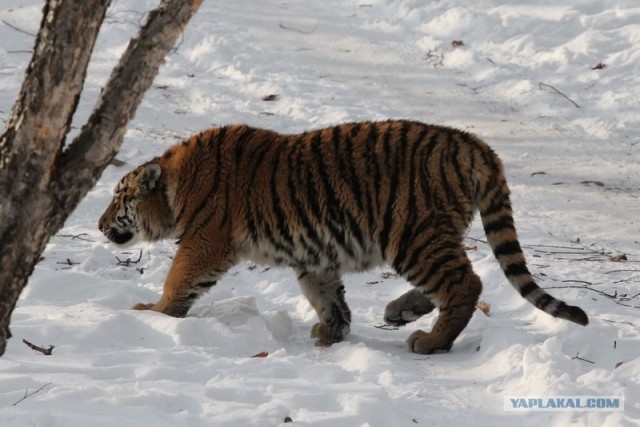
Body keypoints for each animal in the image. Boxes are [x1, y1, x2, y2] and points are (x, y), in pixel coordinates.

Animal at [97, 120, 588, 354]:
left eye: (118, 197)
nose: (100, 225)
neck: (176, 185)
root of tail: (474, 144)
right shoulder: (312, 256)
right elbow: (324, 293)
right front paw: (332, 329)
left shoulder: (205, 242)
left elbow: (177, 279)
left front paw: (153, 313)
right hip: (429, 236)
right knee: (459, 282)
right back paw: (400, 310)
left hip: (413, 234)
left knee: (465, 283)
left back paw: (430, 342)